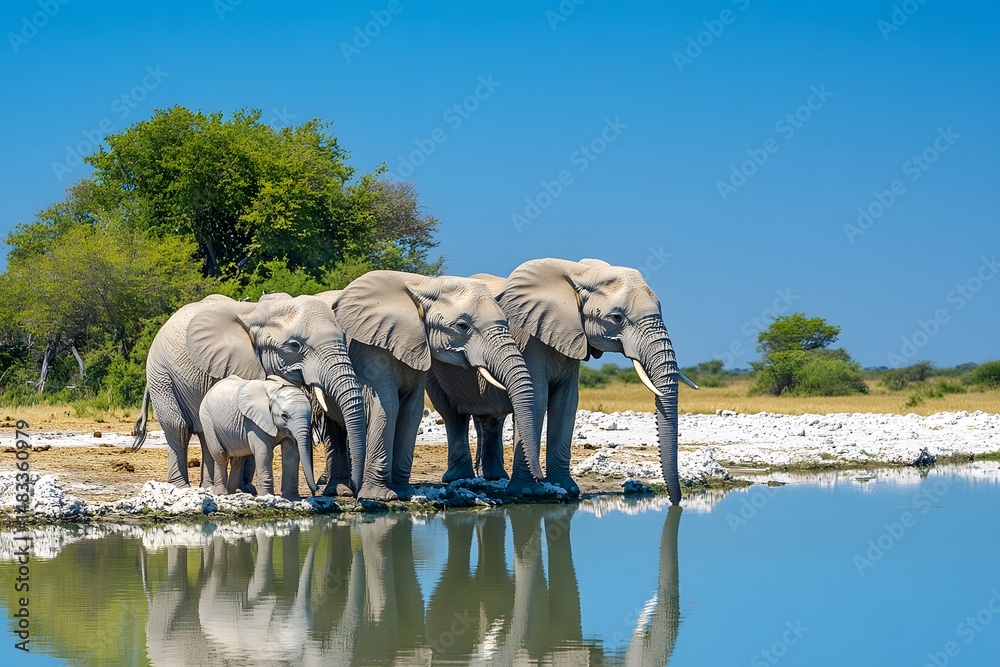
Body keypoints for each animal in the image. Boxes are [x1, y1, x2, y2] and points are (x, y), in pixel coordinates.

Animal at [131, 293, 366, 496]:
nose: (353, 491)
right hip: (161, 375)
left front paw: (246, 490)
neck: (259, 312)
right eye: (294, 345)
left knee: (205, 435)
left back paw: (208, 487)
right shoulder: (235, 362)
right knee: (178, 428)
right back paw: (182, 487)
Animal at [314, 270, 543, 501]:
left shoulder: (416, 347)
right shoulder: (370, 346)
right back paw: (340, 490)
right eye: (462, 326)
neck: (423, 284)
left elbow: (411, 411)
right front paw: (380, 497)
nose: (541, 478)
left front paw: (403, 493)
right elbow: (387, 407)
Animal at [431, 258, 698, 501]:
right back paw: (459, 478)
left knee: (492, 420)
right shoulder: (529, 338)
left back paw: (496, 478)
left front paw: (566, 489)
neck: (580, 274)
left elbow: (566, 403)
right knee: (453, 415)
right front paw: (529, 491)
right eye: (617, 318)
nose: (675, 501)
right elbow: (537, 399)